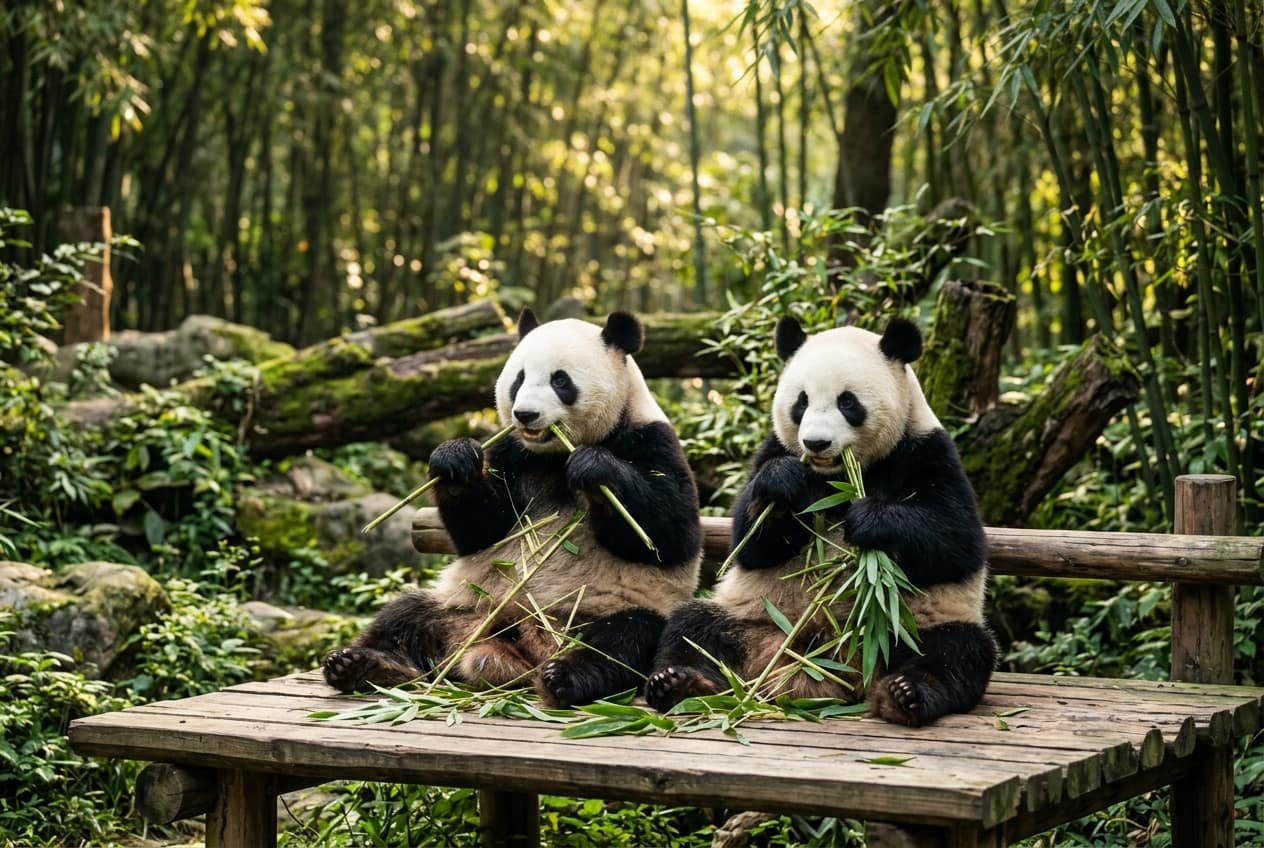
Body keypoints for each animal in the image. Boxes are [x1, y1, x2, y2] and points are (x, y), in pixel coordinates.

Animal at [323, 308, 702, 708]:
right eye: (519, 378)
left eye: (560, 380)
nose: (525, 414)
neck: (552, 455)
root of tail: (522, 646)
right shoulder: (512, 454)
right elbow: (483, 530)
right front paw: (455, 460)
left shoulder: (651, 439)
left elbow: (670, 534)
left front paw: (594, 467)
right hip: (466, 604)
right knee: (405, 615)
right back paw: (362, 664)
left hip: (605, 609)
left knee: (624, 639)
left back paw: (565, 677)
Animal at [646, 316, 995, 727]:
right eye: (801, 401)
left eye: (848, 402)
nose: (815, 443)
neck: (834, 476)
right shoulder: (776, 447)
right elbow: (747, 544)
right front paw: (781, 486)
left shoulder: (925, 450)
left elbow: (958, 541)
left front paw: (869, 520)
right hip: (748, 615)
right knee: (692, 629)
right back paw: (679, 683)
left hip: (913, 624)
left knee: (957, 651)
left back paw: (904, 695)